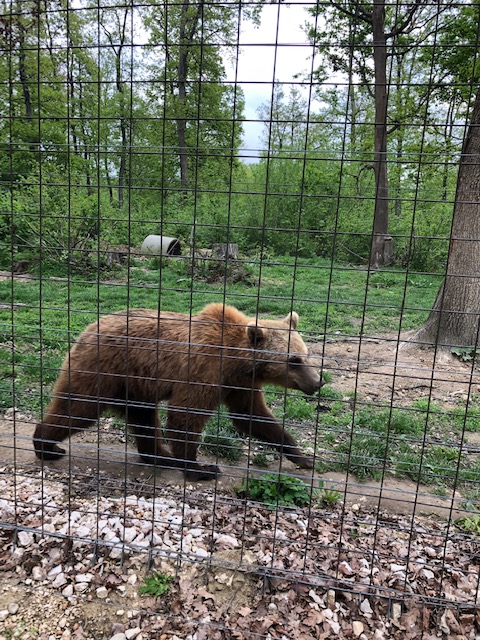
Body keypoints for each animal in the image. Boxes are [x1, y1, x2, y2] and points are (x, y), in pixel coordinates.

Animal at [33, 303, 322, 480]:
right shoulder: (204, 370)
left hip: (135, 386)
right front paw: (201, 468)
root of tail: (89, 327)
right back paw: (47, 446)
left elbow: (253, 417)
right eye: (293, 360)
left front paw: (303, 458)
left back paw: (161, 456)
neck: (238, 360)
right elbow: (186, 415)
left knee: (143, 418)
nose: (317, 382)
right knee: (78, 408)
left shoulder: (239, 383)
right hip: (104, 370)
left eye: (306, 354)